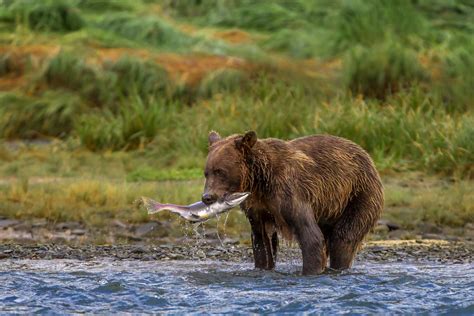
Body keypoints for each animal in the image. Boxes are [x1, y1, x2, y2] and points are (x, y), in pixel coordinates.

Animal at [202, 130, 384, 274]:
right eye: (207, 172)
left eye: (220, 171)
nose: (207, 197)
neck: (260, 181)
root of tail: (367, 156)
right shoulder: (257, 206)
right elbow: (262, 242)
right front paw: (263, 267)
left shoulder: (289, 194)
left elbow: (311, 237)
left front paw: (310, 271)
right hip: (329, 207)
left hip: (359, 194)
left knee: (343, 237)